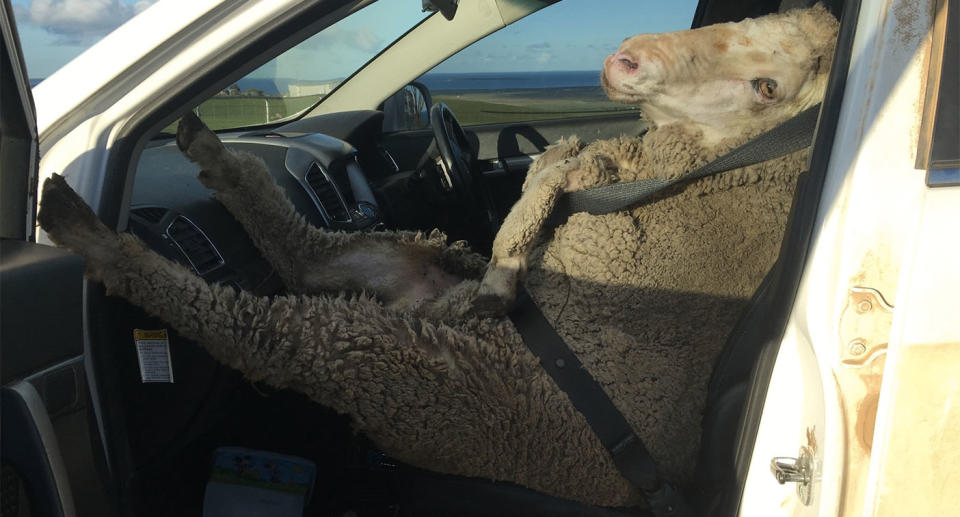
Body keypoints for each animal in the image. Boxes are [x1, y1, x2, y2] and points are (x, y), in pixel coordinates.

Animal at [37, 5, 836, 508]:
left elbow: (547, 192)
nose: (629, 58)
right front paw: (512, 248)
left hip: (401, 372)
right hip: (410, 259)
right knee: (308, 252)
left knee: (257, 324)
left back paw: (92, 233)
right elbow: (550, 177)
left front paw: (508, 270)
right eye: (748, 22)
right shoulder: (595, 164)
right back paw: (209, 153)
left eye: (770, 86)